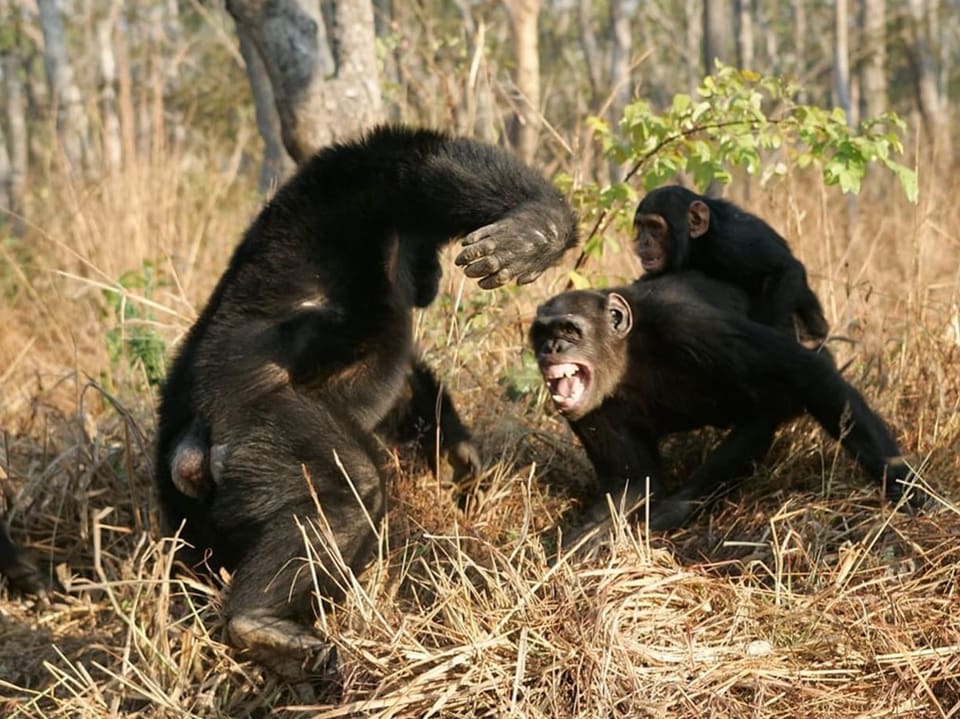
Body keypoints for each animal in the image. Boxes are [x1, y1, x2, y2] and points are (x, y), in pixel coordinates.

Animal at [156, 126, 576, 684]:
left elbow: (404, 388)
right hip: (261, 427)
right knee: (349, 492)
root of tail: (193, 451)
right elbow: (415, 163)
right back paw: (260, 621)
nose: (431, 277)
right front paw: (536, 230)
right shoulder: (354, 193)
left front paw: (458, 453)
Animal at [528, 272, 928, 536]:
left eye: (569, 330)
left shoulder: (689, 325)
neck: (627, 355)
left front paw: (908, 493)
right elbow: (630, 484)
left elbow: (804, 370)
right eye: (541, 333)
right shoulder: (593, 411)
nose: (551, 347)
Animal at [632, 187, 828, 348]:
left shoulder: (733, 242)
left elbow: (785, 270)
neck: (696, 243)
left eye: (655, 226)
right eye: (642, 226)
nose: (644, 241)